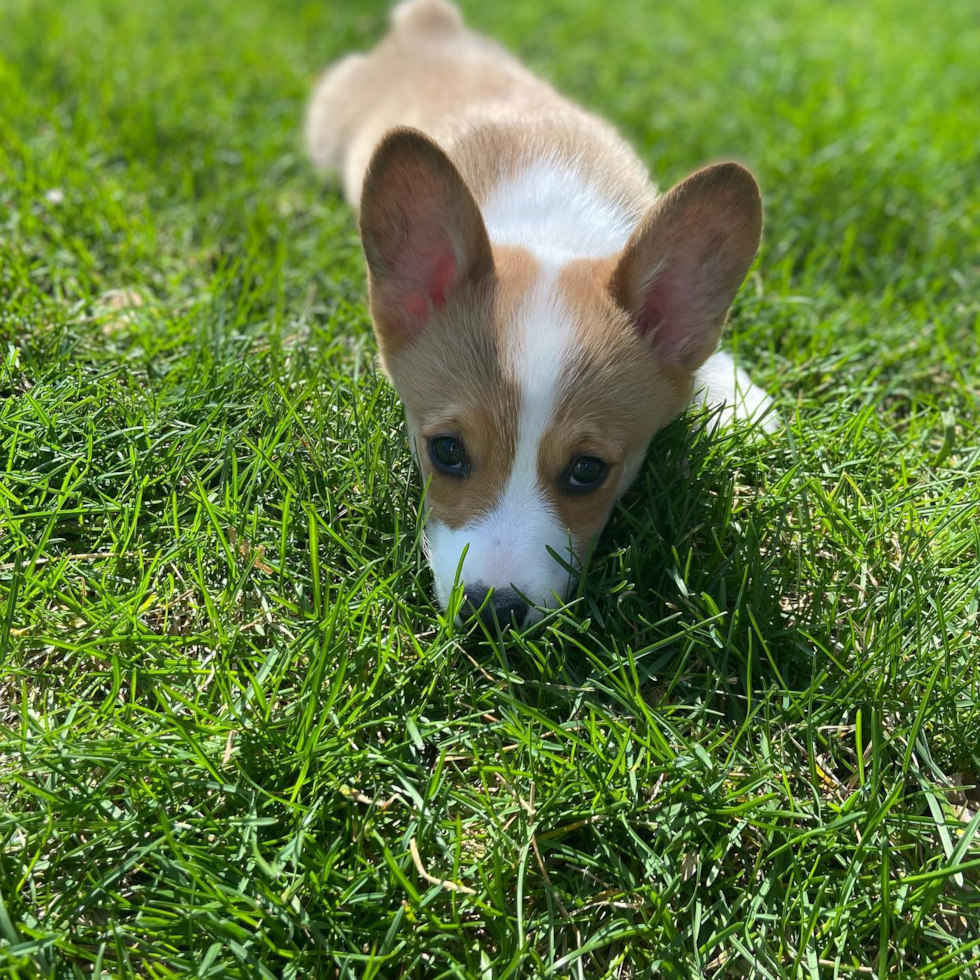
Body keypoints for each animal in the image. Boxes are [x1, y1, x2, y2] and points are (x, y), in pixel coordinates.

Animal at [304, 1, 772, 628]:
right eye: (446, 451)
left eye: (587, 470)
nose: (492, 615)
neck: (550, 233)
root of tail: (428, 24)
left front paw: (739, 398)